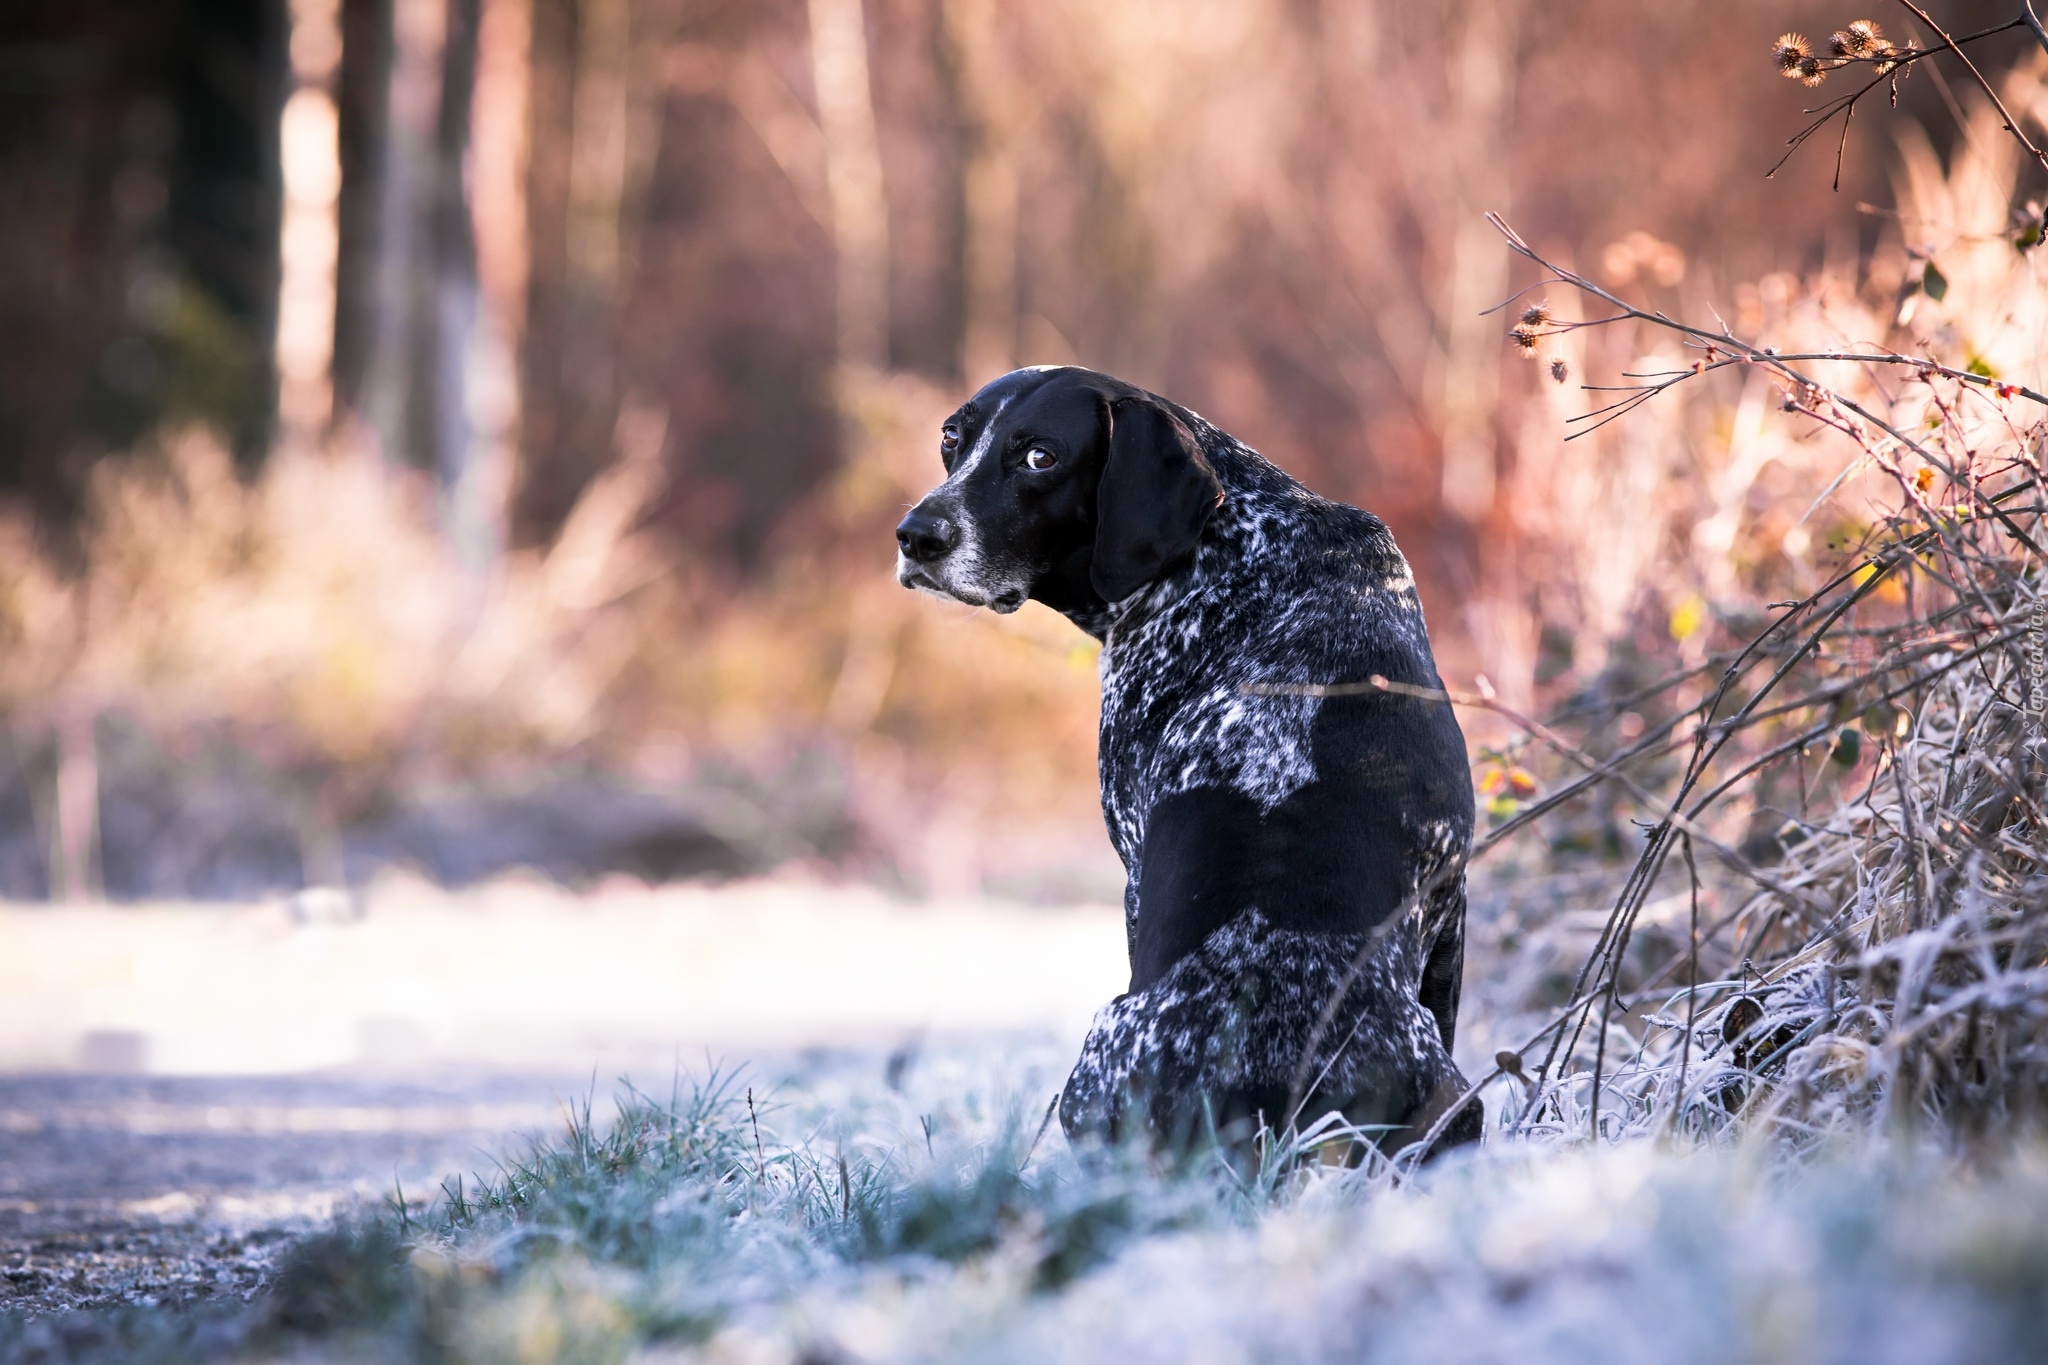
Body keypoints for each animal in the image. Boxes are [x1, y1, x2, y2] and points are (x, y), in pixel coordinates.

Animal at [892, 368, 1474, 1162]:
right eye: (954, 438)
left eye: (1040, 457)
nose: (916, 534)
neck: (1229, 551)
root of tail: (1266, 1113)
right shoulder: (1453, 899)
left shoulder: (1136, 870)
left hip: (1101, 1041)